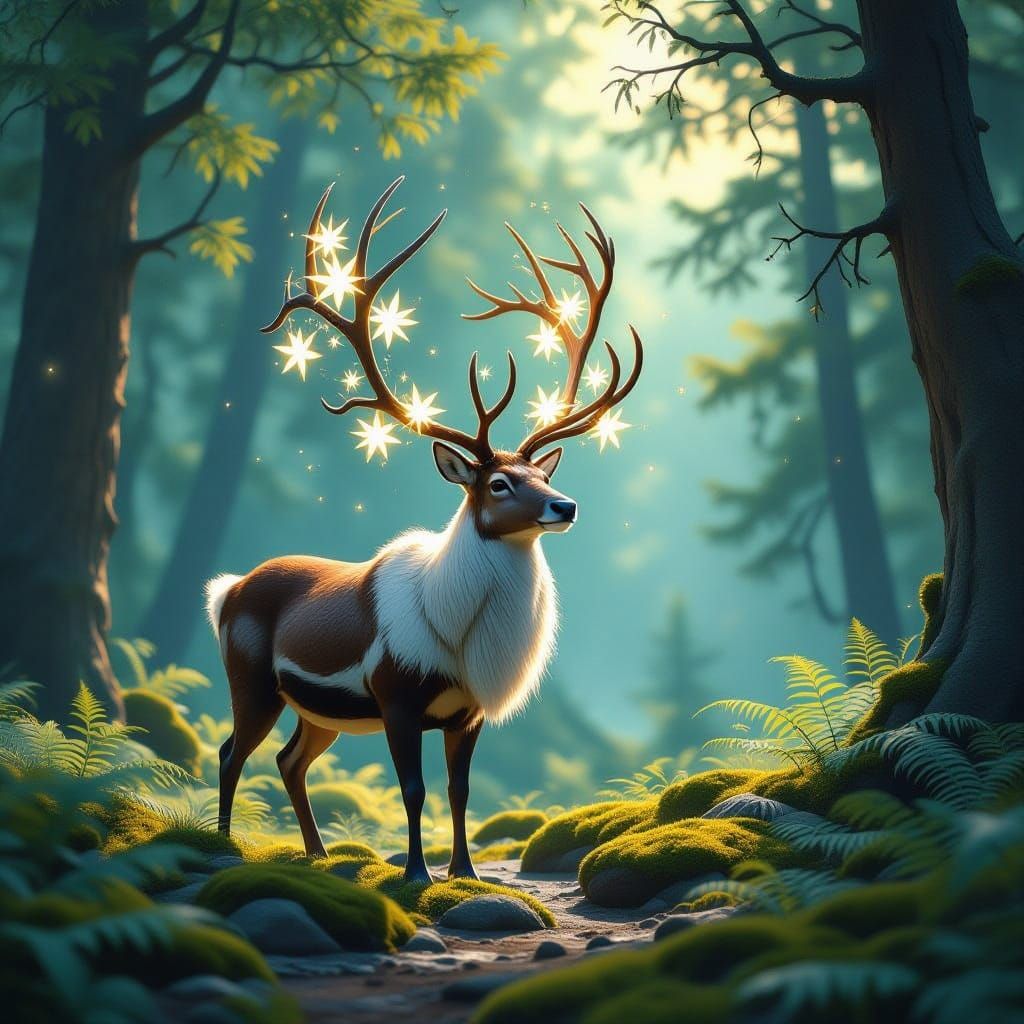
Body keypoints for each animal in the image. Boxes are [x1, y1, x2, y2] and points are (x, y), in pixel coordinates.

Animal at [206, 178, 642, 882]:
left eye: (540, 473)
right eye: (498, 484)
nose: (566, 506)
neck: (457, 637)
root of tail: (227, 590)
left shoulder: (466, 714)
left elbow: (458, 790)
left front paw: (463, 871)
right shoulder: (397, 698)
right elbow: (412, 789)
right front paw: (416, 873)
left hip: (318, 712)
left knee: (289, 760)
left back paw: (318, 854)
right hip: (251, 681)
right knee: (230, 751)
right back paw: (222, 846)